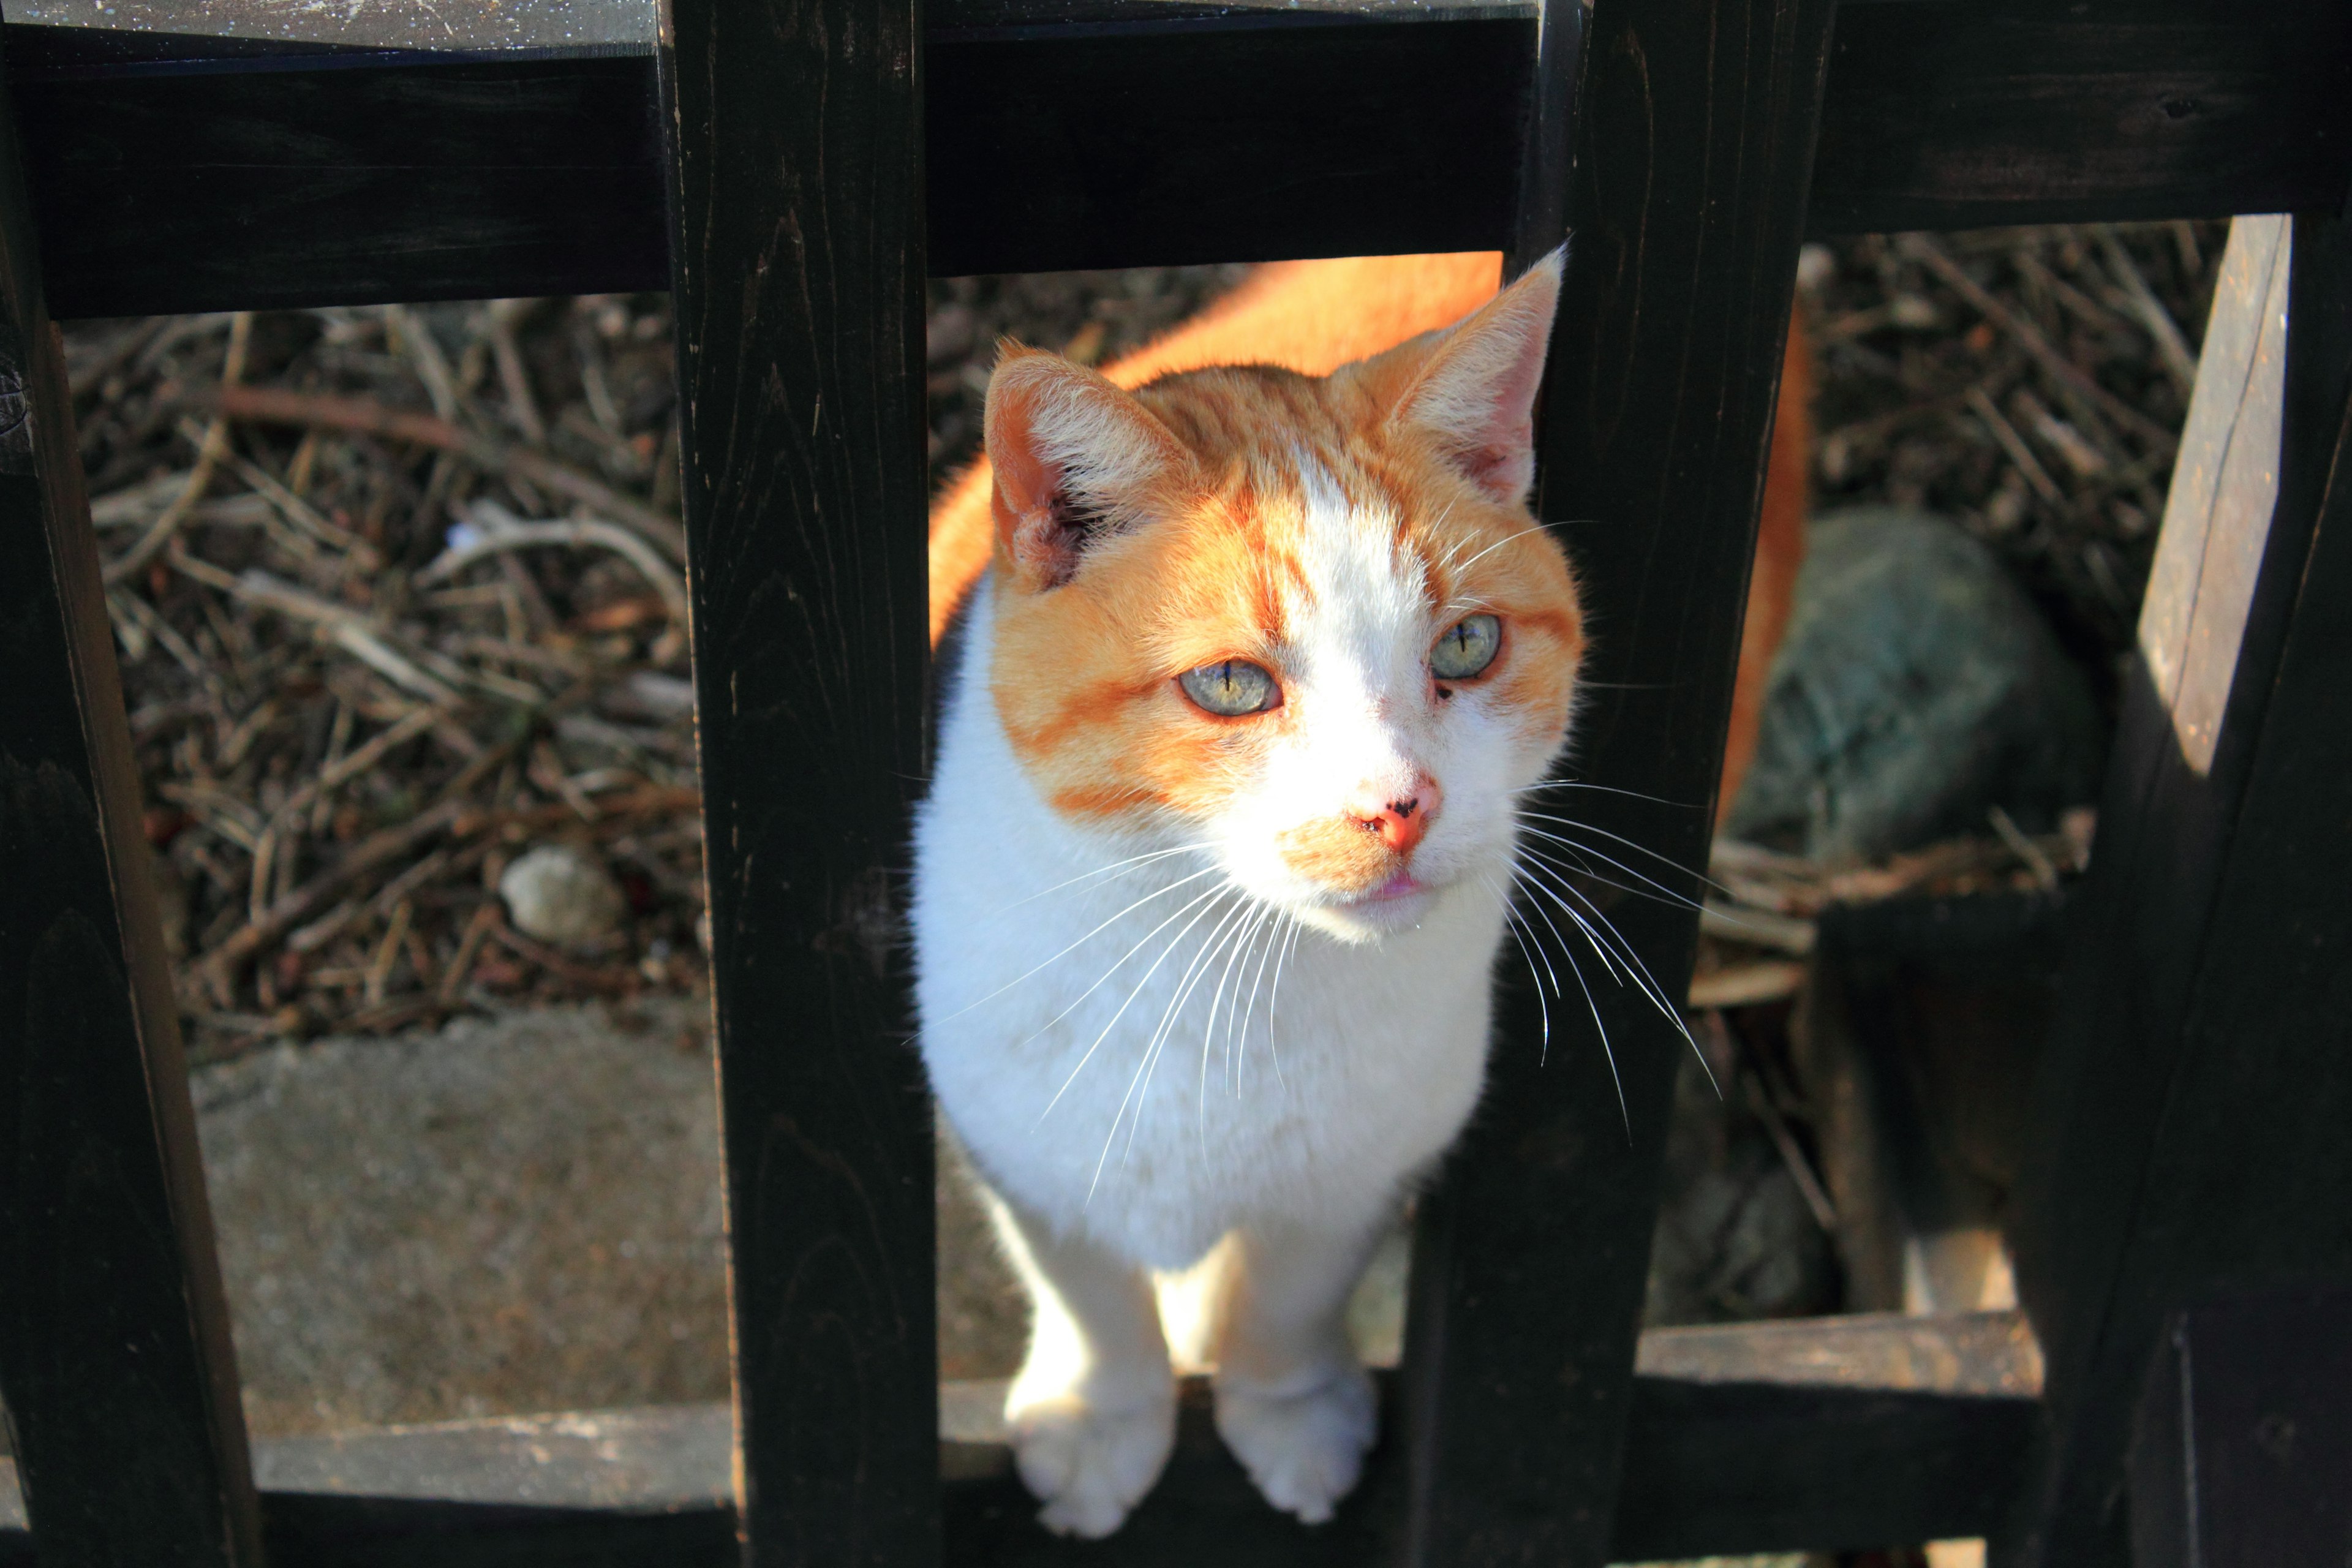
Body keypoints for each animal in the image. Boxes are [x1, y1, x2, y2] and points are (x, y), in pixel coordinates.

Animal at [908, 247, 1806, 1532]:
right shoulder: (1017, 1140)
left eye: (1468, 647)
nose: (1400, 803)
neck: (1224, 973)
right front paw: (1099, 1422)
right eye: (1232, 684)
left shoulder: (1368, 1163)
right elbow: (1085, 1288)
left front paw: (1286, 1412)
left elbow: (1289, 1294)